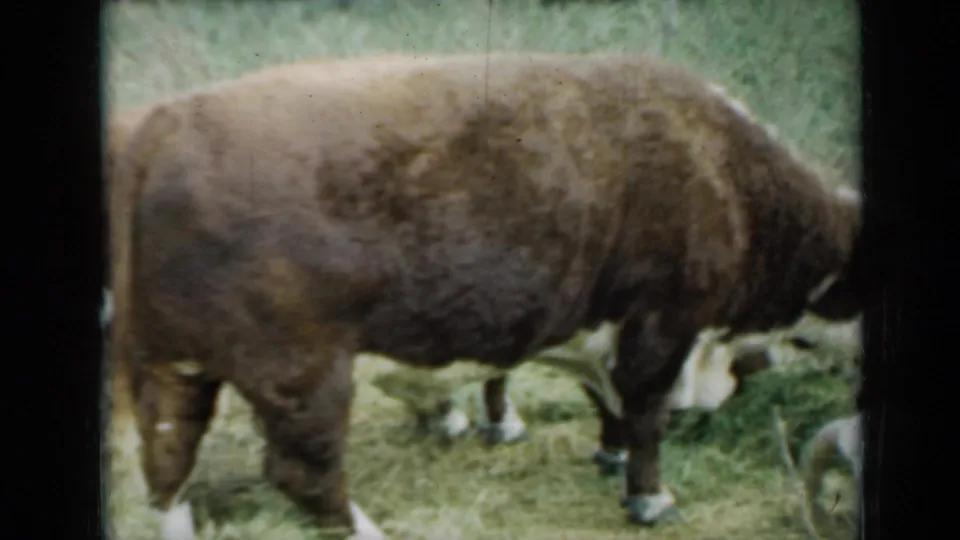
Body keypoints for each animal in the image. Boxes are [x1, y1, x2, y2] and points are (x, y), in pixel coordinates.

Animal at [108, 52, 863, 539]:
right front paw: (651, 498)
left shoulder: (595, 323)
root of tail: (164, 125)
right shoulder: (664, 319)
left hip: (172, 365)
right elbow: (647, 414)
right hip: (300, 370)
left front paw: (611, 456)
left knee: (166, 462)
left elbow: (609, 401)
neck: (725, 170)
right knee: (303, 472)